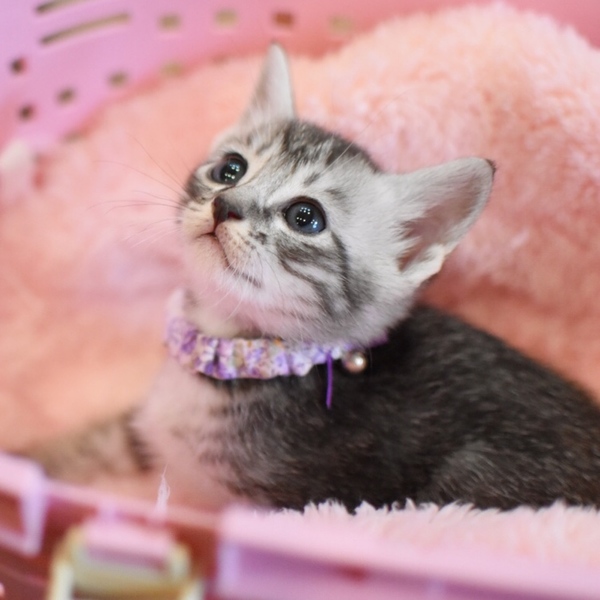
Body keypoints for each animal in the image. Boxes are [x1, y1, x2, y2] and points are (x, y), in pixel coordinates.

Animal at [27, 44, 600, 512]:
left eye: (305, 217)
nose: (225, 204)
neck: (235, 353)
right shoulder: (139, 427)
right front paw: (28, 459)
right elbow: (94, 441)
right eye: (230, 169)